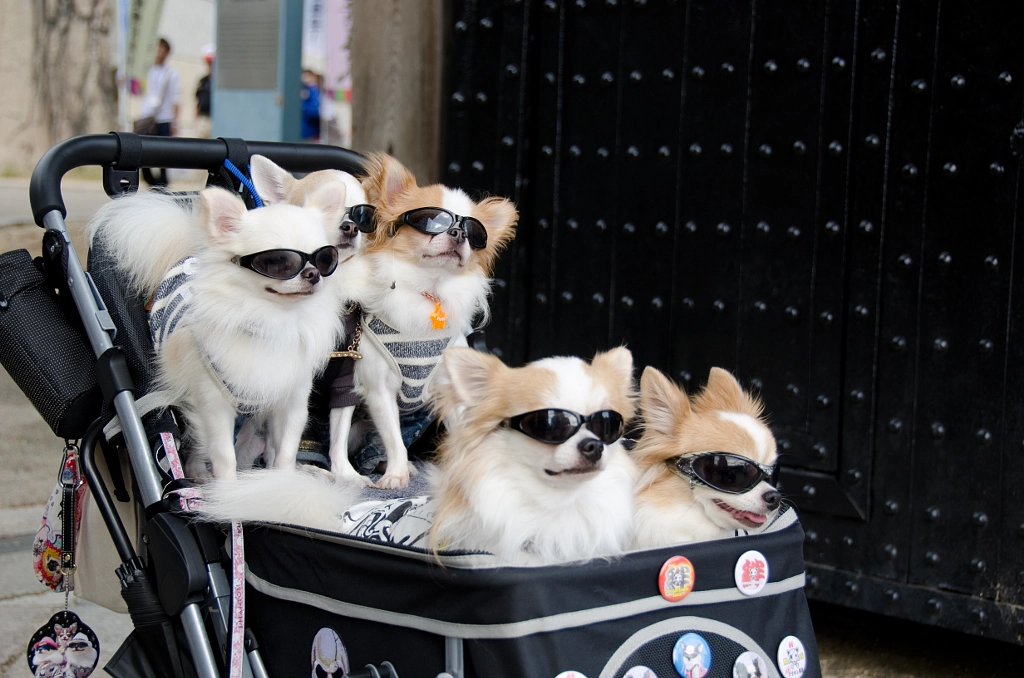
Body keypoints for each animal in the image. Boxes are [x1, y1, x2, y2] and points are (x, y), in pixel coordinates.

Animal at [90, 180, 352, 477]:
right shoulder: (213, 403)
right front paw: (227, 487)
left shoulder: (291, 400)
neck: (273, 320)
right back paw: (199, 473)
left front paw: (281, 479)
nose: (313, 274)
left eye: (326, 258)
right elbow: (224, 455)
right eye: (278, 261)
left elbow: (286, 449)